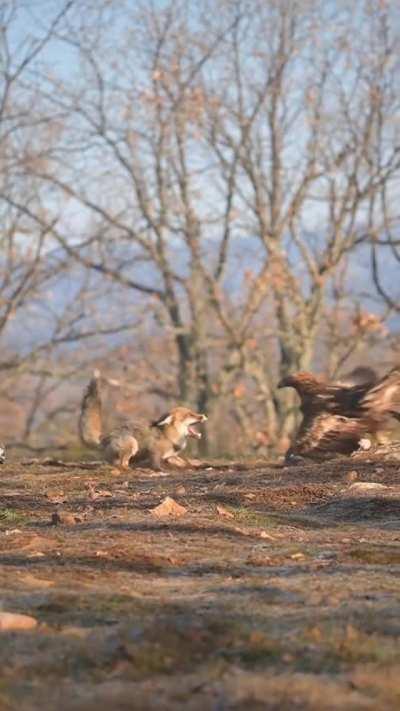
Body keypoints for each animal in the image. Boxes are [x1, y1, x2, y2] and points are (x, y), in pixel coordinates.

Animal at [78, 374, 207, 470]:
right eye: (189, 415)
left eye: (193, 412)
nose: (204, 416)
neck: (169, 436)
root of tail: (105, 438)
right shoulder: (154, 451)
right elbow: (156, 463)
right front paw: (160, 470)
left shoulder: (172, 457)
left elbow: (188, 464)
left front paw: (201, 466)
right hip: (132, 443)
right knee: (121, 464)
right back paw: (132, 469)